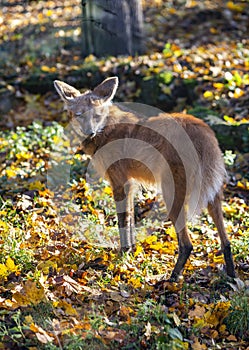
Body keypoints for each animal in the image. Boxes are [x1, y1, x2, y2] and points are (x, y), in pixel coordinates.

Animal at [54, 76, 235, 282]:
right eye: (80, 115)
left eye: (97, 116)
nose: (90, 132)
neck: (106, 131)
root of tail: (203, 129)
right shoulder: (130, 184)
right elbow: (131, 221)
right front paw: (130, 252)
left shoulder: (119, 183)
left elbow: (123, 221)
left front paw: (123, 255)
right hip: (212, 195)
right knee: (226, 242)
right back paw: (231, 276)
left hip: (171, 195)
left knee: (187, 245)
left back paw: (172, 279)